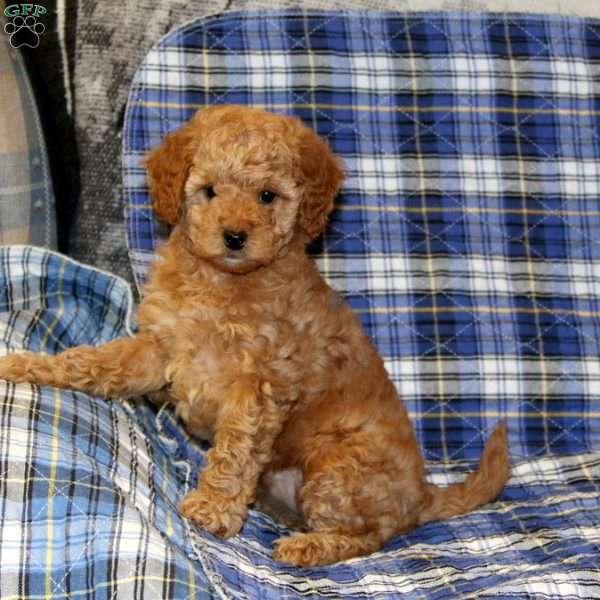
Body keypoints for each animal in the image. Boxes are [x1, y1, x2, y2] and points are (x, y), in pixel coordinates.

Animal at [0, 106, 510, 568]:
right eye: (209, 191)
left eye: (267, 196)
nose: (234, 236)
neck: (222, 281)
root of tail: (422, 492)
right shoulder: (159, 347)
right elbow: (93, 362)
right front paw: (26, 364)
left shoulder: (260, 386)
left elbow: (236, 450)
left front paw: (213, 508)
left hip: (338, 466)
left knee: (368, 536)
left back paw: (309, 546)